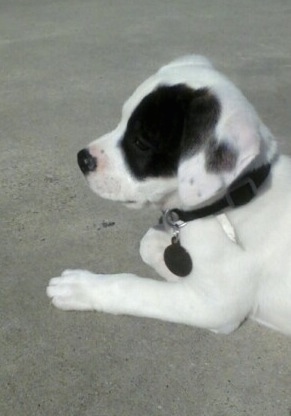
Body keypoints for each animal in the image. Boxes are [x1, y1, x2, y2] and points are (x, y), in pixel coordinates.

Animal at [46, 55, 291, 334]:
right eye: (121, 121)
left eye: (141, 143)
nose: (82, 159)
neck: (229, 204)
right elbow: (151, 244)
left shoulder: (214, 307)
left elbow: (134, 287)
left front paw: (82, 287)